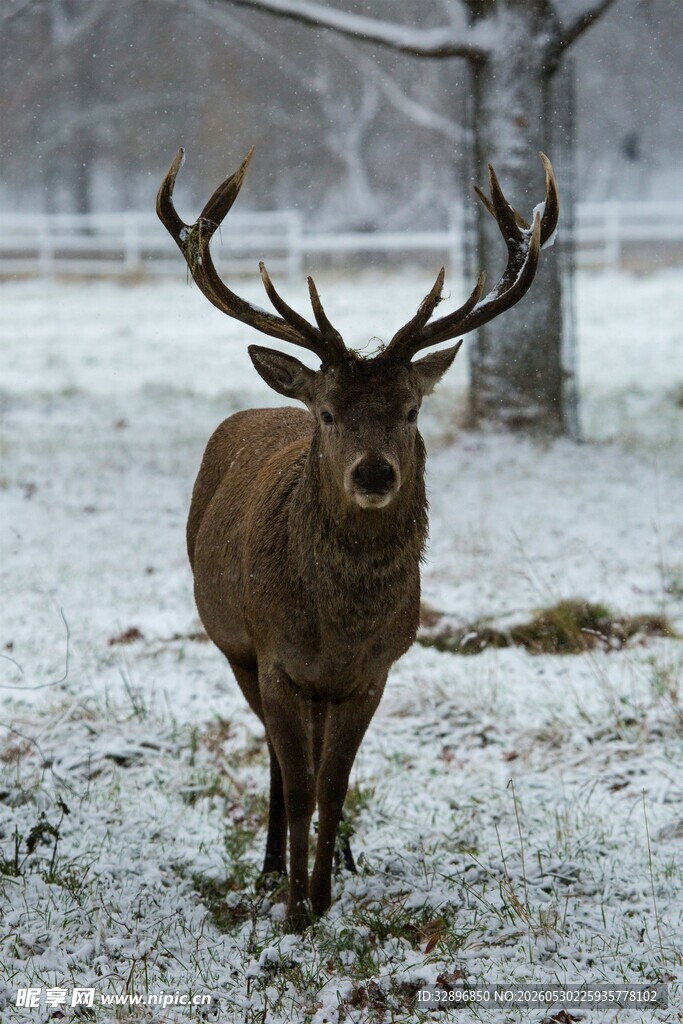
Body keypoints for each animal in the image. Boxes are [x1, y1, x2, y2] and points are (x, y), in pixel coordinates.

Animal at [157, 146, 558, 931]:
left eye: (409, 409)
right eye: (329, 412)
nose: (374, 473)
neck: (335, 629)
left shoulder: (375, 671)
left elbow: (336, 786)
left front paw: (324, 896)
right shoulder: (274, 658)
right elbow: (301, 783)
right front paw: (293, 910)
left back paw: (338, 859)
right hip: (234, 648)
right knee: (278, 760)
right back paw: (271, 865)